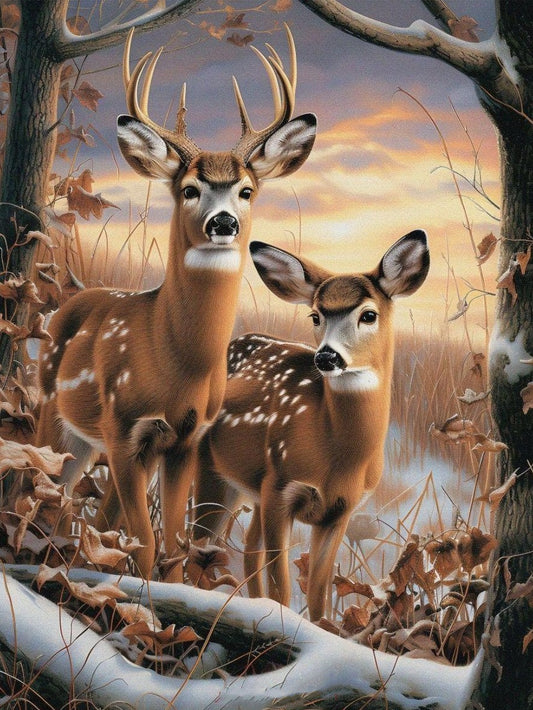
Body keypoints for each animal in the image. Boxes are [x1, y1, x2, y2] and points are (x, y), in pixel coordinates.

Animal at [35, 26, 316, 581]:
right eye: (189, 189)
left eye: (247, 190)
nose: (223, 223)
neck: (174, 362)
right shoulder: (123, 426)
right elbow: (144, 544)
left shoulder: (185, 438)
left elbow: (170, 547)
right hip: (55, 414)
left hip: (97, 444)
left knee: (86, 508)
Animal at [195, 230, 429, 620]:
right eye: (316, 315)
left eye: (369, 315)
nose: (327, 357)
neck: (337, 457)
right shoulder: (281, 487)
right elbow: (283, 587)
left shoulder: (340, 510)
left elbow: (320, 593)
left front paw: (319, 627)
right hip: (210, 468)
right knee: (196, 540)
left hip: (250, 488)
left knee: (247, 546)